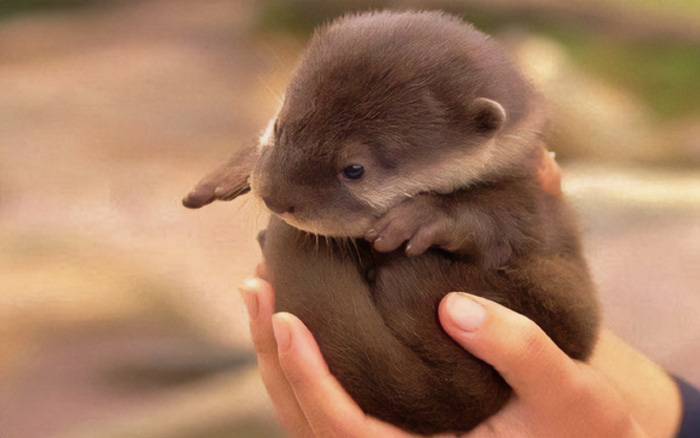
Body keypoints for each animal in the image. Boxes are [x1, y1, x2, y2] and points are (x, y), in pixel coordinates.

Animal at [182, 11, 599, 435]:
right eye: (280, 125)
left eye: (354, 169)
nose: (276, 198)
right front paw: (234, 169)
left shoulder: (533, 197)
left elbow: (503, 219)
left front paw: (420, 217)